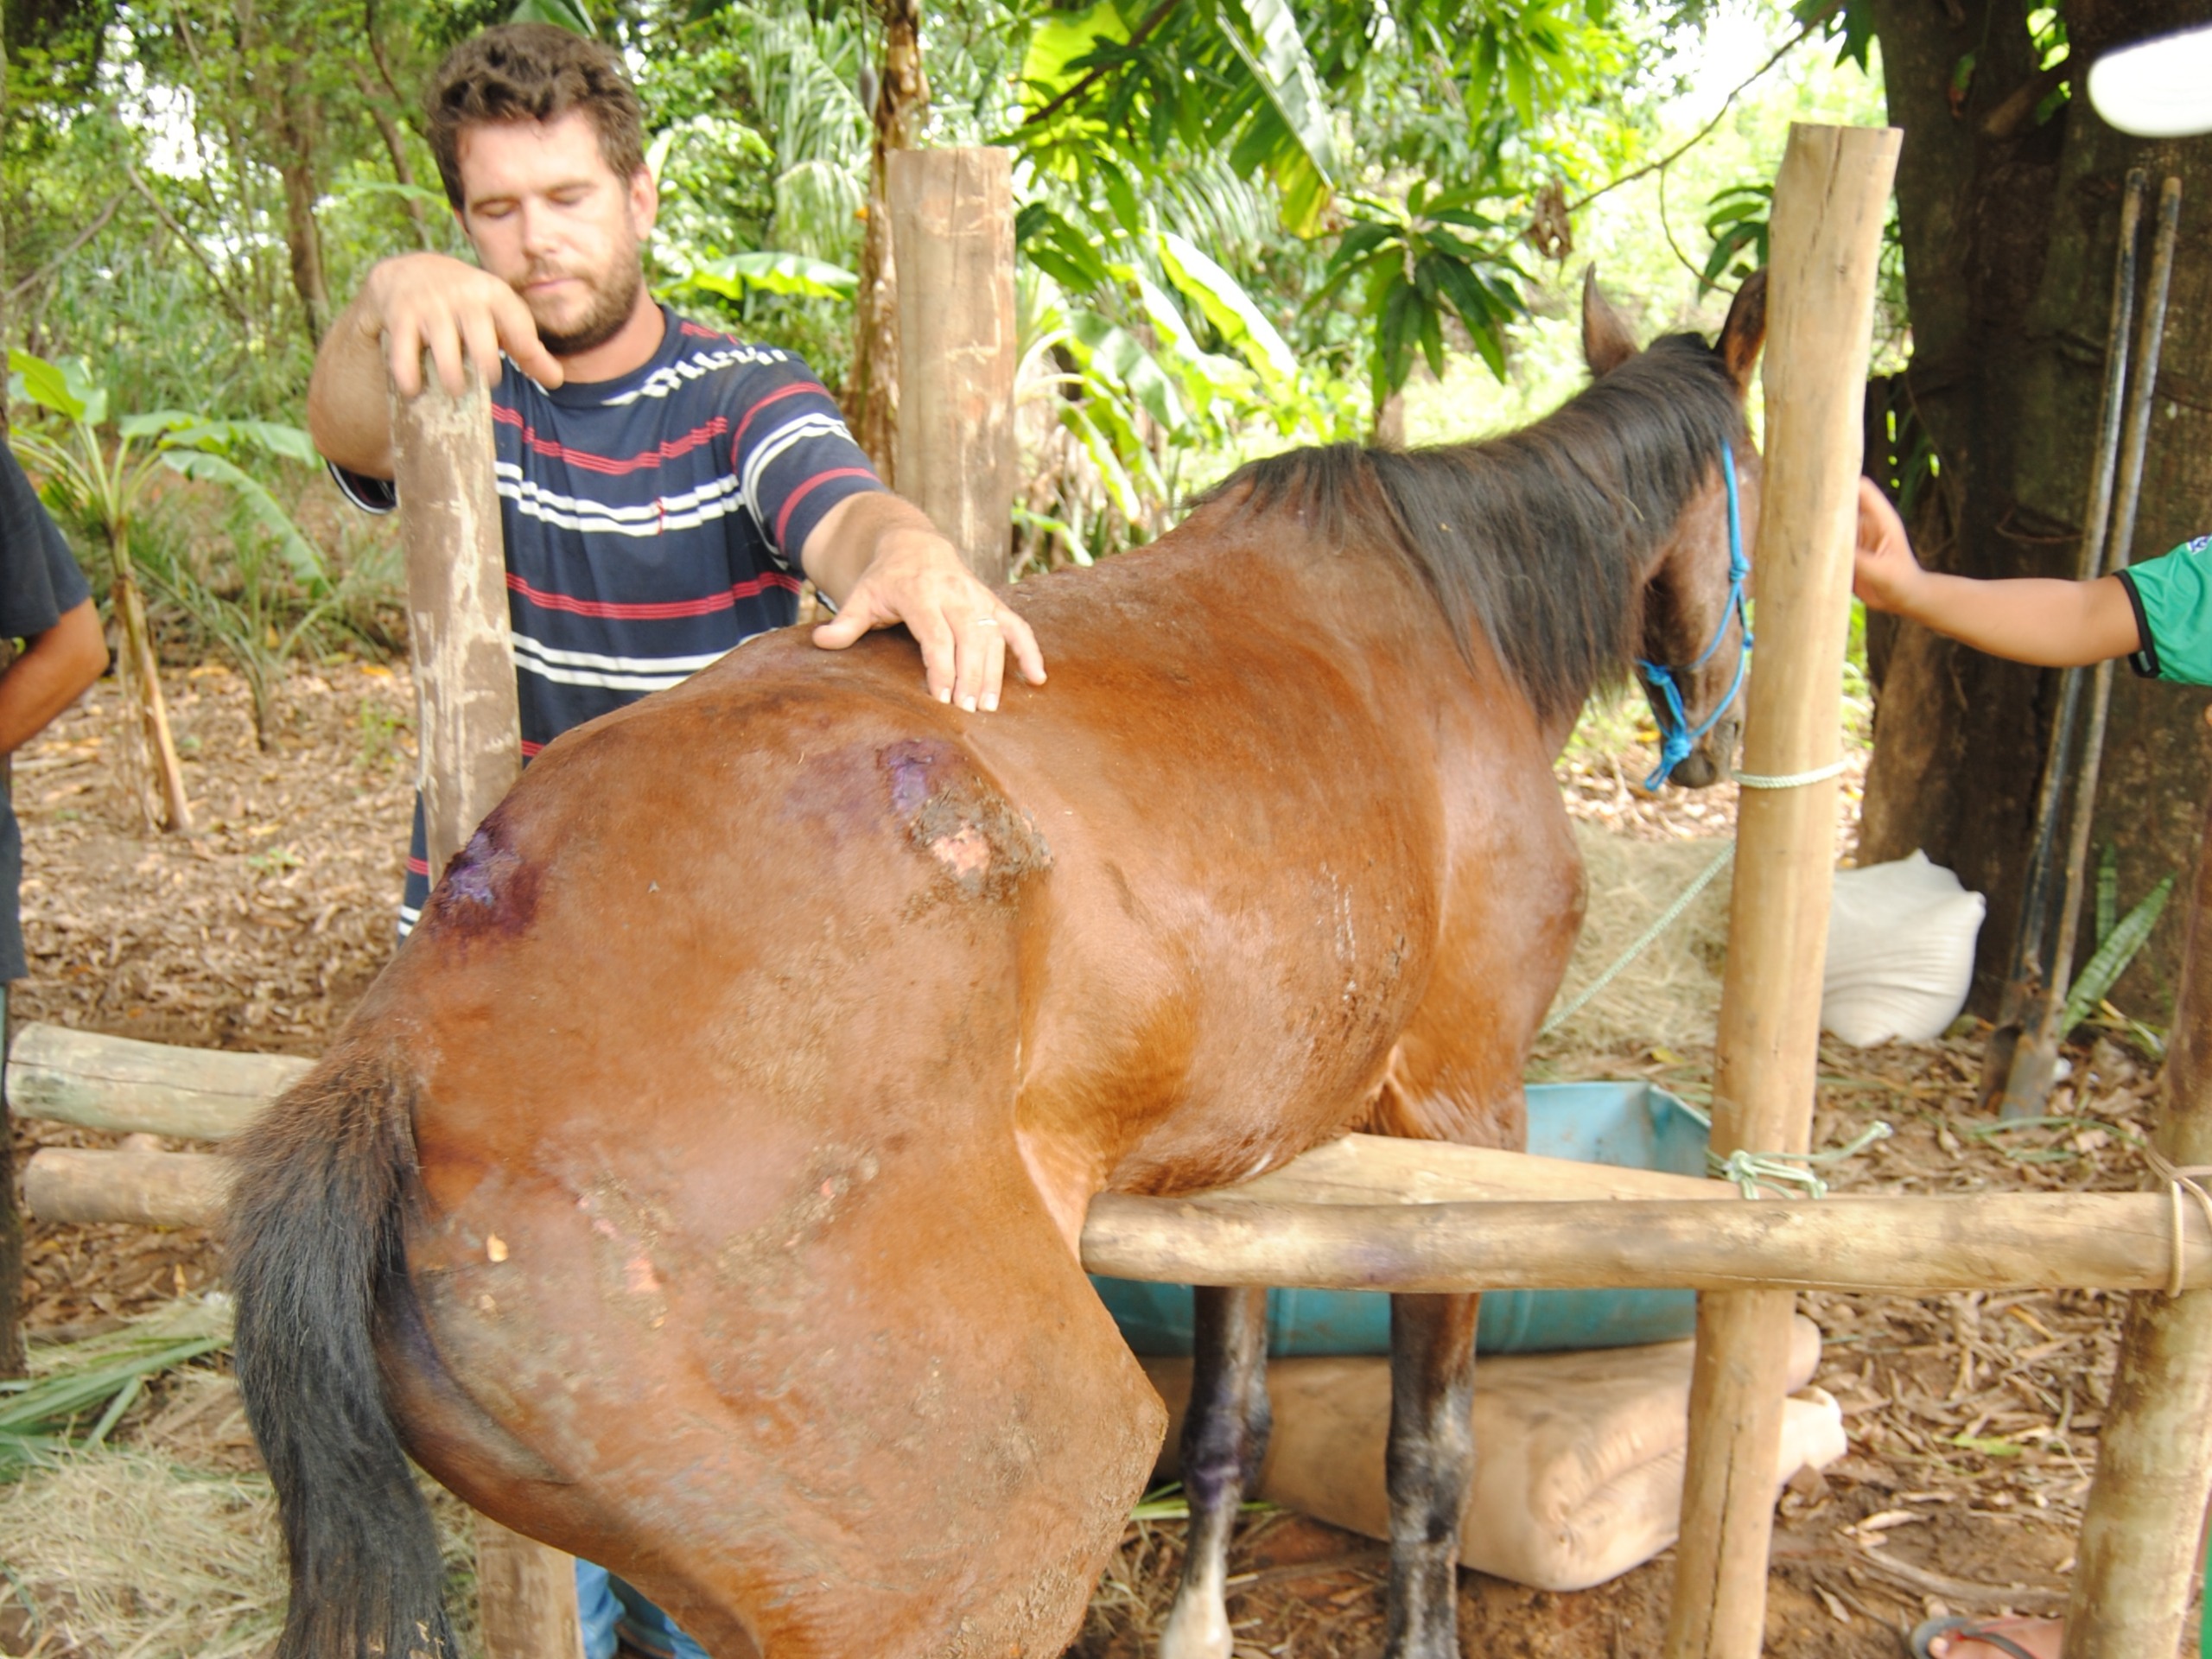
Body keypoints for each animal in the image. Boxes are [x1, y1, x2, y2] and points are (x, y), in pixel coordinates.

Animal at [228, 276, 1760, 1659]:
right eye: (1761, 475)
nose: (1721, 740)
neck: (1448, 617)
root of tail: (405, 1055)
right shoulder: (1461, 1114)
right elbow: (1427, 1464)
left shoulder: (1254, 1161)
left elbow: (1235, 1420)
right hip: (1008, 1531)